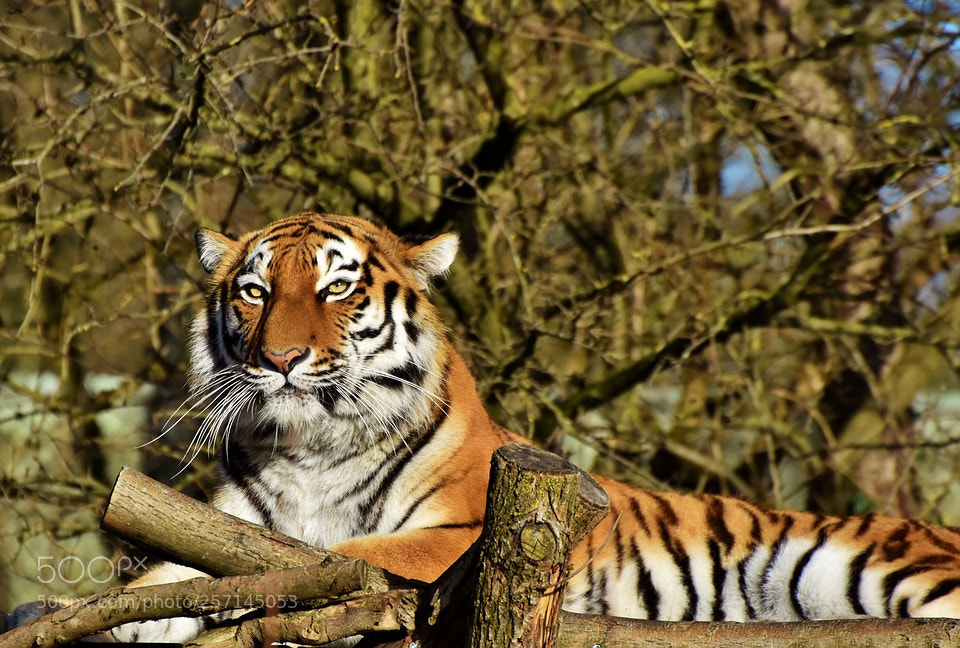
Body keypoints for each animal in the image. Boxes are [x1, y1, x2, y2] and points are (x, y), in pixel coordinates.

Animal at [58, 212, 960, 639]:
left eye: (335, 289)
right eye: (253, 292)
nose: (279, 359)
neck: (308, 449)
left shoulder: (454, 538)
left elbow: (327, 560)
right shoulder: (222, 521)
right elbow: (158, 579)